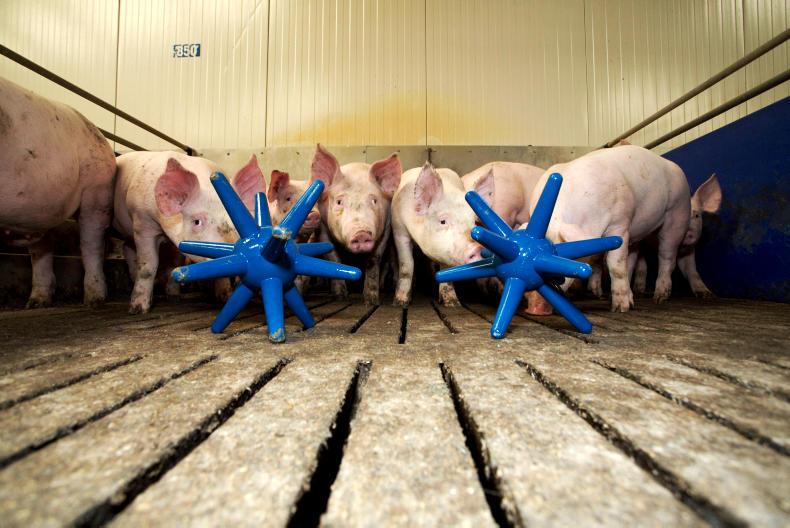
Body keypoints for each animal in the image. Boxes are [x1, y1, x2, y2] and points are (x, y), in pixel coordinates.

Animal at [0, 77, 116, 308]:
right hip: (40, 209)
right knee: (41, 249)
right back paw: (36, 303)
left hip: (97, 189)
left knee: (91, 243)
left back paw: (94, 300)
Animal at [113, 151, 265, 314]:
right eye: (197, 222)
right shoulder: (143, 223)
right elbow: (148, 266)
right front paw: (138, 309)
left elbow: (174, 265)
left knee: (127, 247)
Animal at [309, 144, 401, 305]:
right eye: (339, 202)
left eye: (374, 200)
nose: (361, 233)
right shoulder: (323, 228)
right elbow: (334, 258)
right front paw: (340, 297)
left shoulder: (386, 227)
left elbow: (374, 260)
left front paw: (371, 301)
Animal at [392, 163, 479, 306]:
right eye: (442, 221)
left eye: (475, 223)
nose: (477, 248)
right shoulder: (399, 230)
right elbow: (407, 265)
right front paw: (400, 302)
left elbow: (446, 272)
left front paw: (453, 304)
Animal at [529, 145, 691, 313]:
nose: (535, 309)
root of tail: (674, 166)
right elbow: (598, 261)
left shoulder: (619, 224)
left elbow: (615, 265)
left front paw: (621, 308)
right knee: (631, 257)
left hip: (678, 213)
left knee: (667, 256)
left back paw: (659, 298)